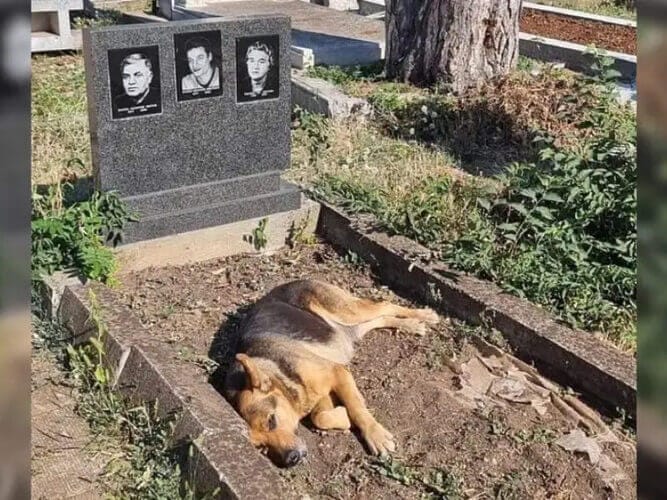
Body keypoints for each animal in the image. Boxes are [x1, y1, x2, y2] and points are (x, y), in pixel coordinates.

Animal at [224, 280, 438, 466]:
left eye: (271, 421)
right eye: (262, 447)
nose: (291, 459)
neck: (280, 374)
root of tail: (289, 282)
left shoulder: (337, 373)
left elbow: (355, 408)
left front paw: (374, 434)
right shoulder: (320, 393)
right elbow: (321, 417)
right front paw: (344, 417)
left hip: (350, 312)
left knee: (384, 305)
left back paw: (424, 315)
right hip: (351, 328)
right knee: (379, 318)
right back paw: (412, 325)